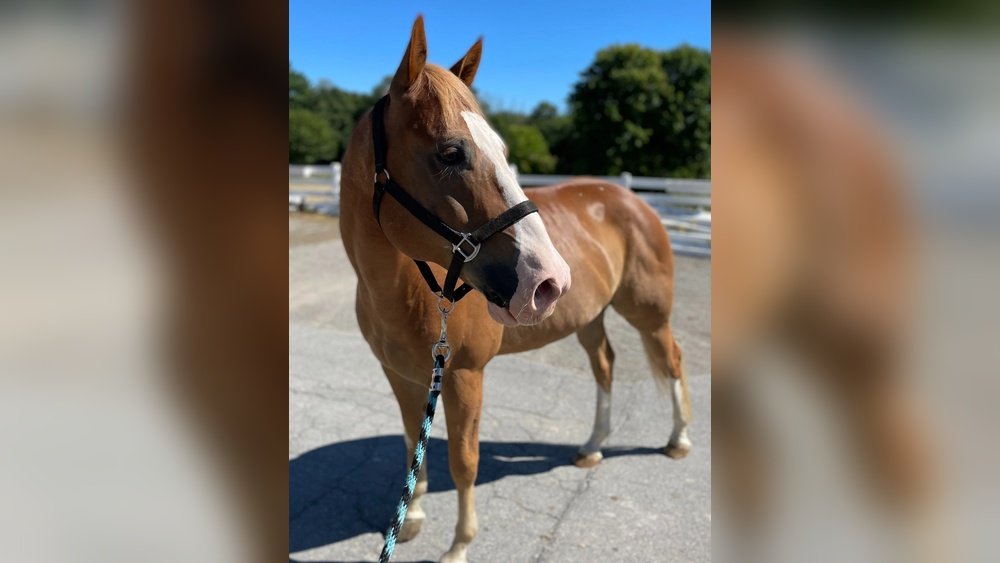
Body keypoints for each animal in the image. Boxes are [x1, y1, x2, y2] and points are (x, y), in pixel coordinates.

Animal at [339, 16, 691, 562]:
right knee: (605, 365)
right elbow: (410, 442)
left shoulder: (463, 375)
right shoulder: (400, 374)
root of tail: (632, 199)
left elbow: (464, 461)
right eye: (450, 151)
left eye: (504, 153)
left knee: (671, 359)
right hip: (590, 317)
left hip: (648, 312)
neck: (405, 292)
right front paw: (411, 516)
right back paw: (592, 446)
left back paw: (677, 440)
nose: (549, 280)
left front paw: (459, 547)